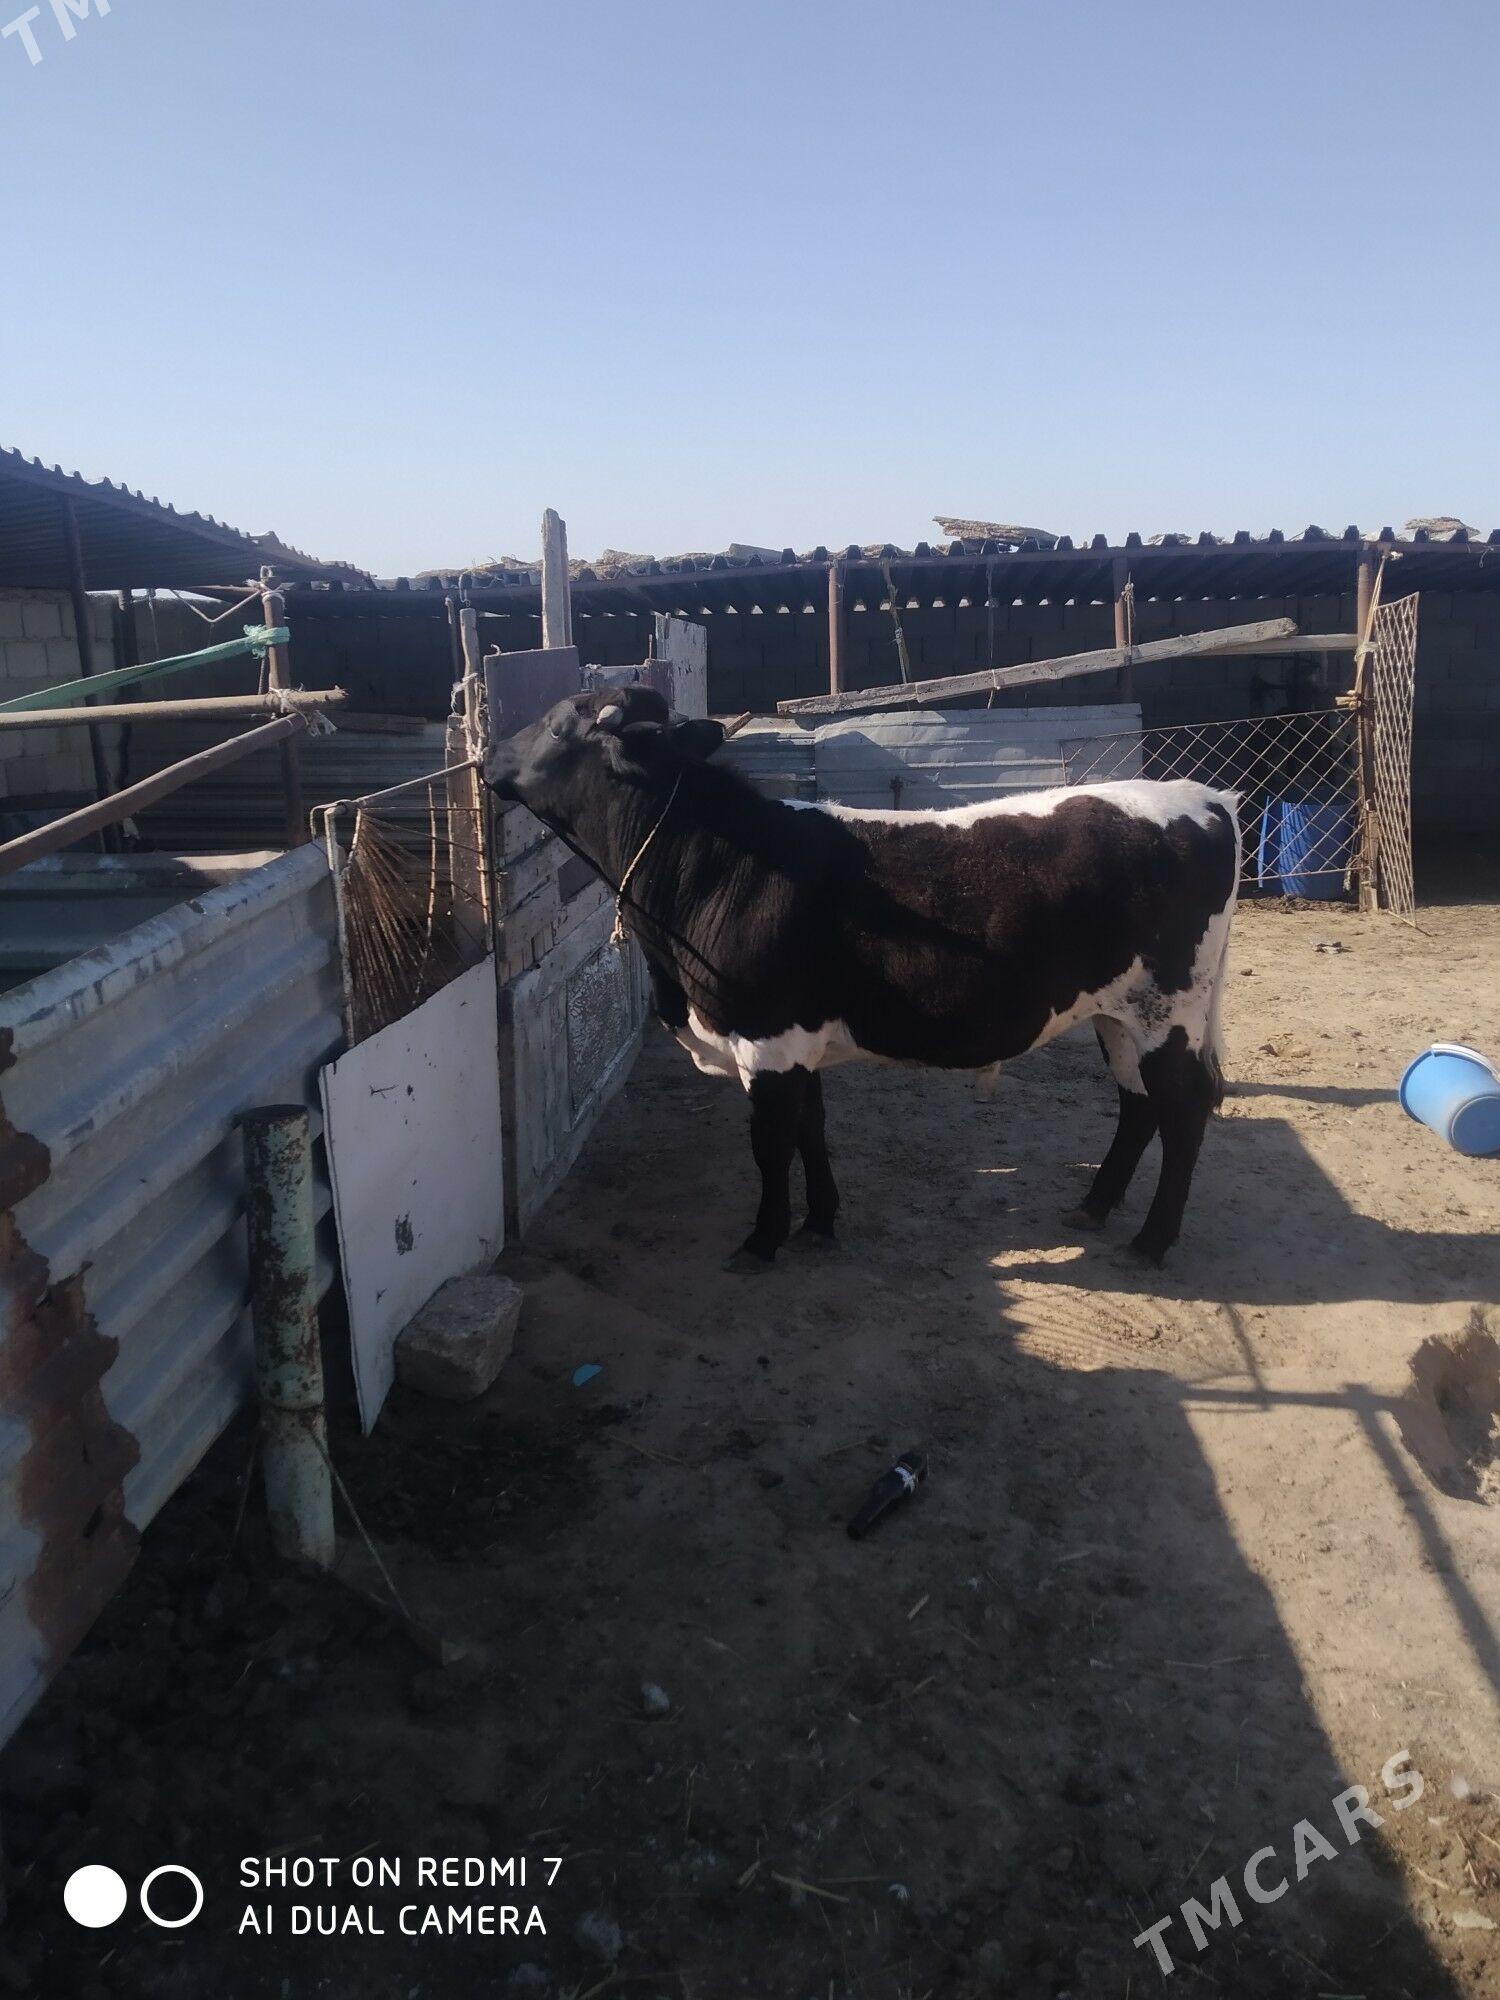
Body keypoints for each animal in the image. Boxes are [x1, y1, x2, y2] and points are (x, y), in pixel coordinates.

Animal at [485, 684, 1240, 1273]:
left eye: (557, 723)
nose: (489, 752)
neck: (713, 866)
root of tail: (1202, 796)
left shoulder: (767, 1039)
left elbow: (770, 1144)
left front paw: (762, 1240)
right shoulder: (797, 1041)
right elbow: (811, 1129)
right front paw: (820, 1222)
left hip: (1169, 1012)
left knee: (1183, 1109)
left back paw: (1151, 1241)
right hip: (1120, 1014)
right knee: (1138, 1105)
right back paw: (1094, 1206)